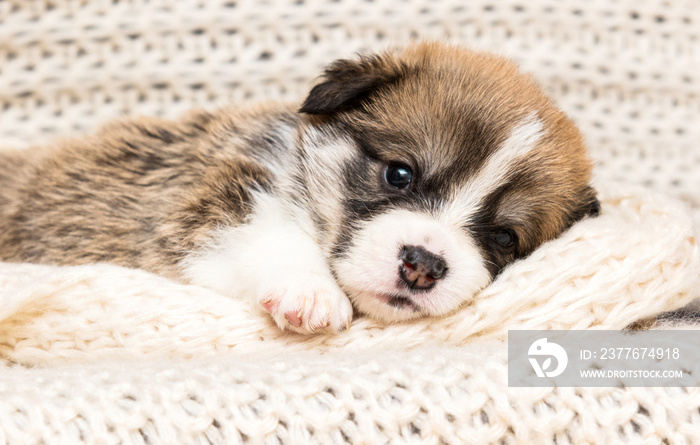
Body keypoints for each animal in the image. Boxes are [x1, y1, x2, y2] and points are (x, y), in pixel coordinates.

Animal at [1, 41, 600, 332]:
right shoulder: (221, 197)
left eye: (503, 238)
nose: (422, 266)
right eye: (399, 173)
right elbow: (270, 236)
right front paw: (310, 292)